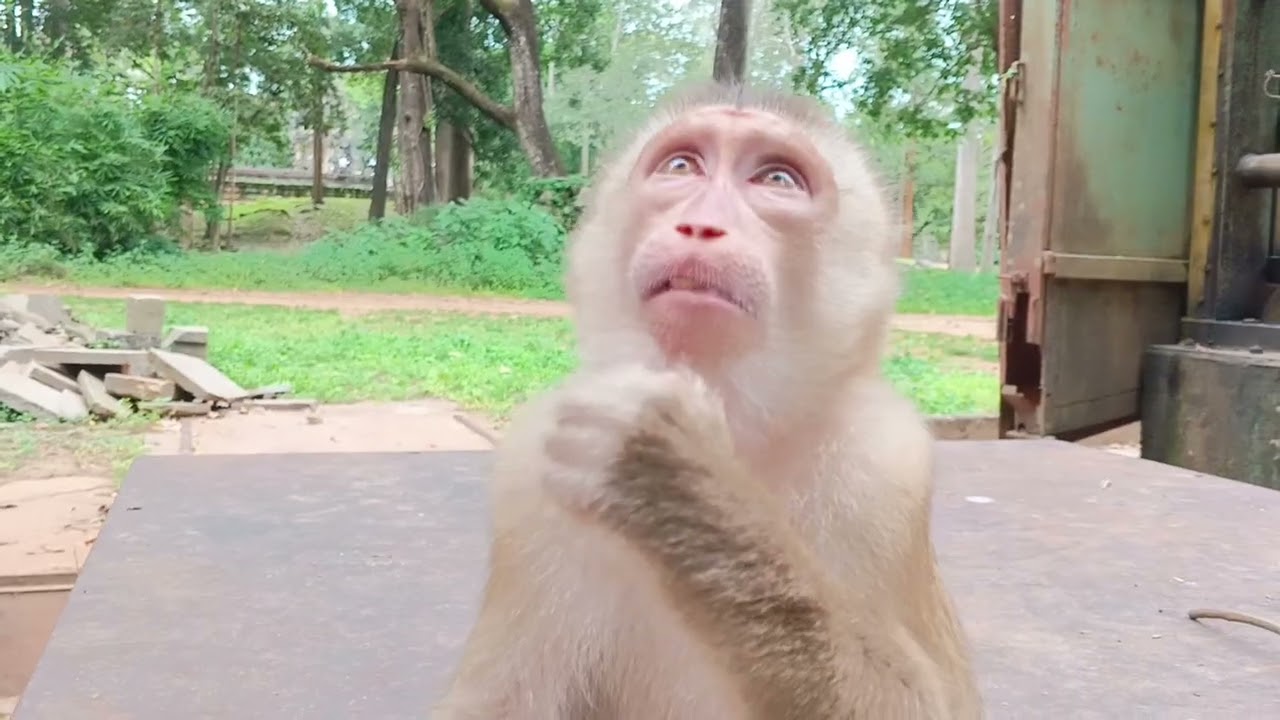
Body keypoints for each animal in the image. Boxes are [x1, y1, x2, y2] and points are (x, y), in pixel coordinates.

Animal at [430, 82, 983, 719]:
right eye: (681, 166)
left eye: (777, 179)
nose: (700, 226)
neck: (740, 424)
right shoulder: (527, 477)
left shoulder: (885, 465)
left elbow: (930, 704)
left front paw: (675, 482)